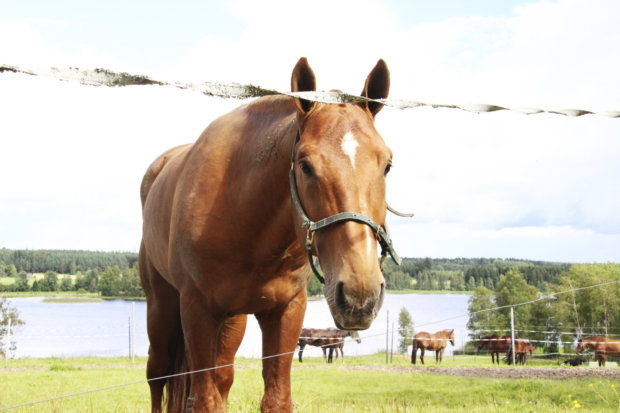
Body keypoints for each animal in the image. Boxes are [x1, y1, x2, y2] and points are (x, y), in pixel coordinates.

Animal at [139, 58, 394, 412]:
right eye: (305, 165)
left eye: (387, 165)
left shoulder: (286, 311)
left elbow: (275, 399)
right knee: (158, 375)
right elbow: (202, 401)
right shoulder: (197, 309)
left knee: (222, 378)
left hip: (232, 322)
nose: (360, 294)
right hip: (161, 306)